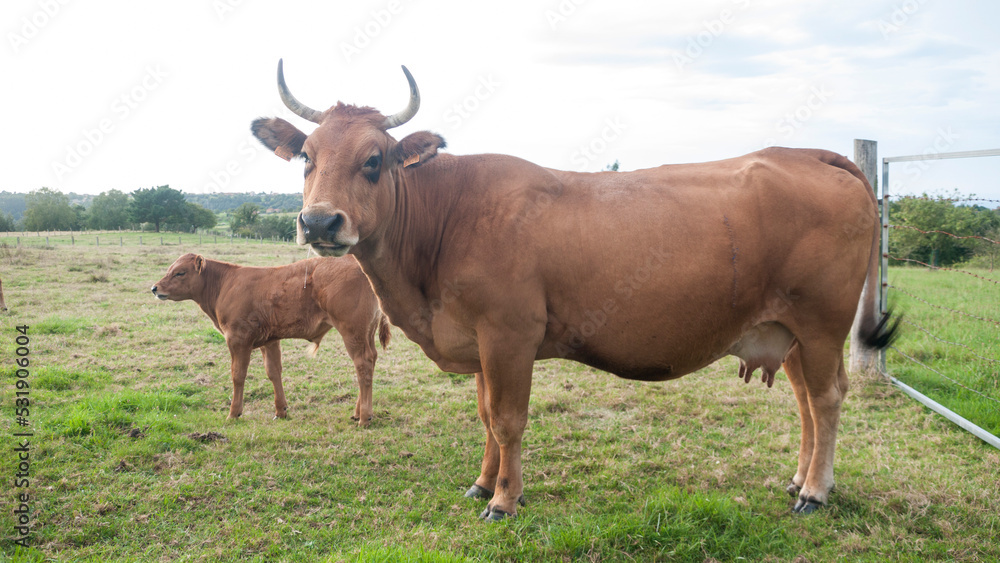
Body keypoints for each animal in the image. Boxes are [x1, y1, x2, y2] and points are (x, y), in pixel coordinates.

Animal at [151, 253, 390, 426]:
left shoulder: (238, 339)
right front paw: (280, 410)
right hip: (366, 332)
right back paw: (358, 412)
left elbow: (238, 375)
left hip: (352, 331)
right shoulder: (270, 339)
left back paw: (364, 417)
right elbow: (273, 372)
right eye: (169, 269)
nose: (155, 287)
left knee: (362, 364)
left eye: (180, 273)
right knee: (371, 359)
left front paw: (233, 413)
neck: (224, 285)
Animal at [250, 60, 898, 520]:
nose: (319, 222)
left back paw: (815, 492)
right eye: (305, 157)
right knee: (806, 402)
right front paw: (481, 483)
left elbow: (507, 418)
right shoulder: (480, 339)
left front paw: (504, 501)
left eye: (374, 159)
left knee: (827, 399)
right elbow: (485, 414)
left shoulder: (510, 334)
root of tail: (808, 153)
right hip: (787, 332)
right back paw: (798, 480)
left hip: (822, 324)